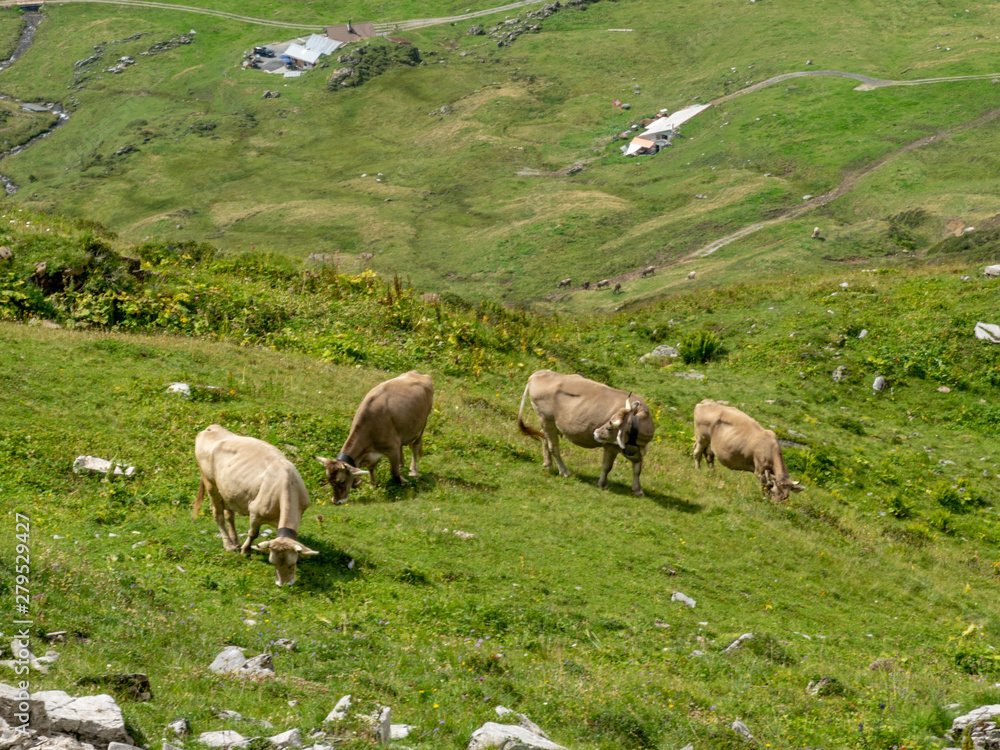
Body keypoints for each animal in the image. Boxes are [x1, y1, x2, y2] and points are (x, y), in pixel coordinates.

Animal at [193, 424, 317, 586]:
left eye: (292, 564)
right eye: (272, 563)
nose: (283, 585)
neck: (287, 484)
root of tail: (212, 427)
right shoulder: (255, 512)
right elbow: (253, 533)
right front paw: (246, 551)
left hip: (228, 490)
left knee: (229, 515)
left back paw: (235, 541)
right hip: (210, 484)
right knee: (218, 515)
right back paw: (229, 545)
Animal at [317, 370, 433, 503]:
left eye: (342, 481)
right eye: (328, 480)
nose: (336, 502)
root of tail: (418, 373)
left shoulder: (392, 448)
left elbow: (394, 473)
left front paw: (403, 483)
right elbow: (371, 467)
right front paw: (373, 484)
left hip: (423, 423)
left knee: (415, 446)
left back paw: (414, 472)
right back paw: (402, 464)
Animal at [517, 369, 655, 496]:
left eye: (609, 427)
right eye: (609, 422)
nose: (595, 433)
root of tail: (538, 373)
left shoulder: (636, 448)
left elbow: (637, 468)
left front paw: (638, 490)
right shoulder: (611, 445)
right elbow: (607, 466)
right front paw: (602, 484)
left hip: (550, 424)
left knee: (544, 438)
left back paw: (548, 464)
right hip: (546, 419)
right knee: (553, 447)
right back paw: (565, 471)